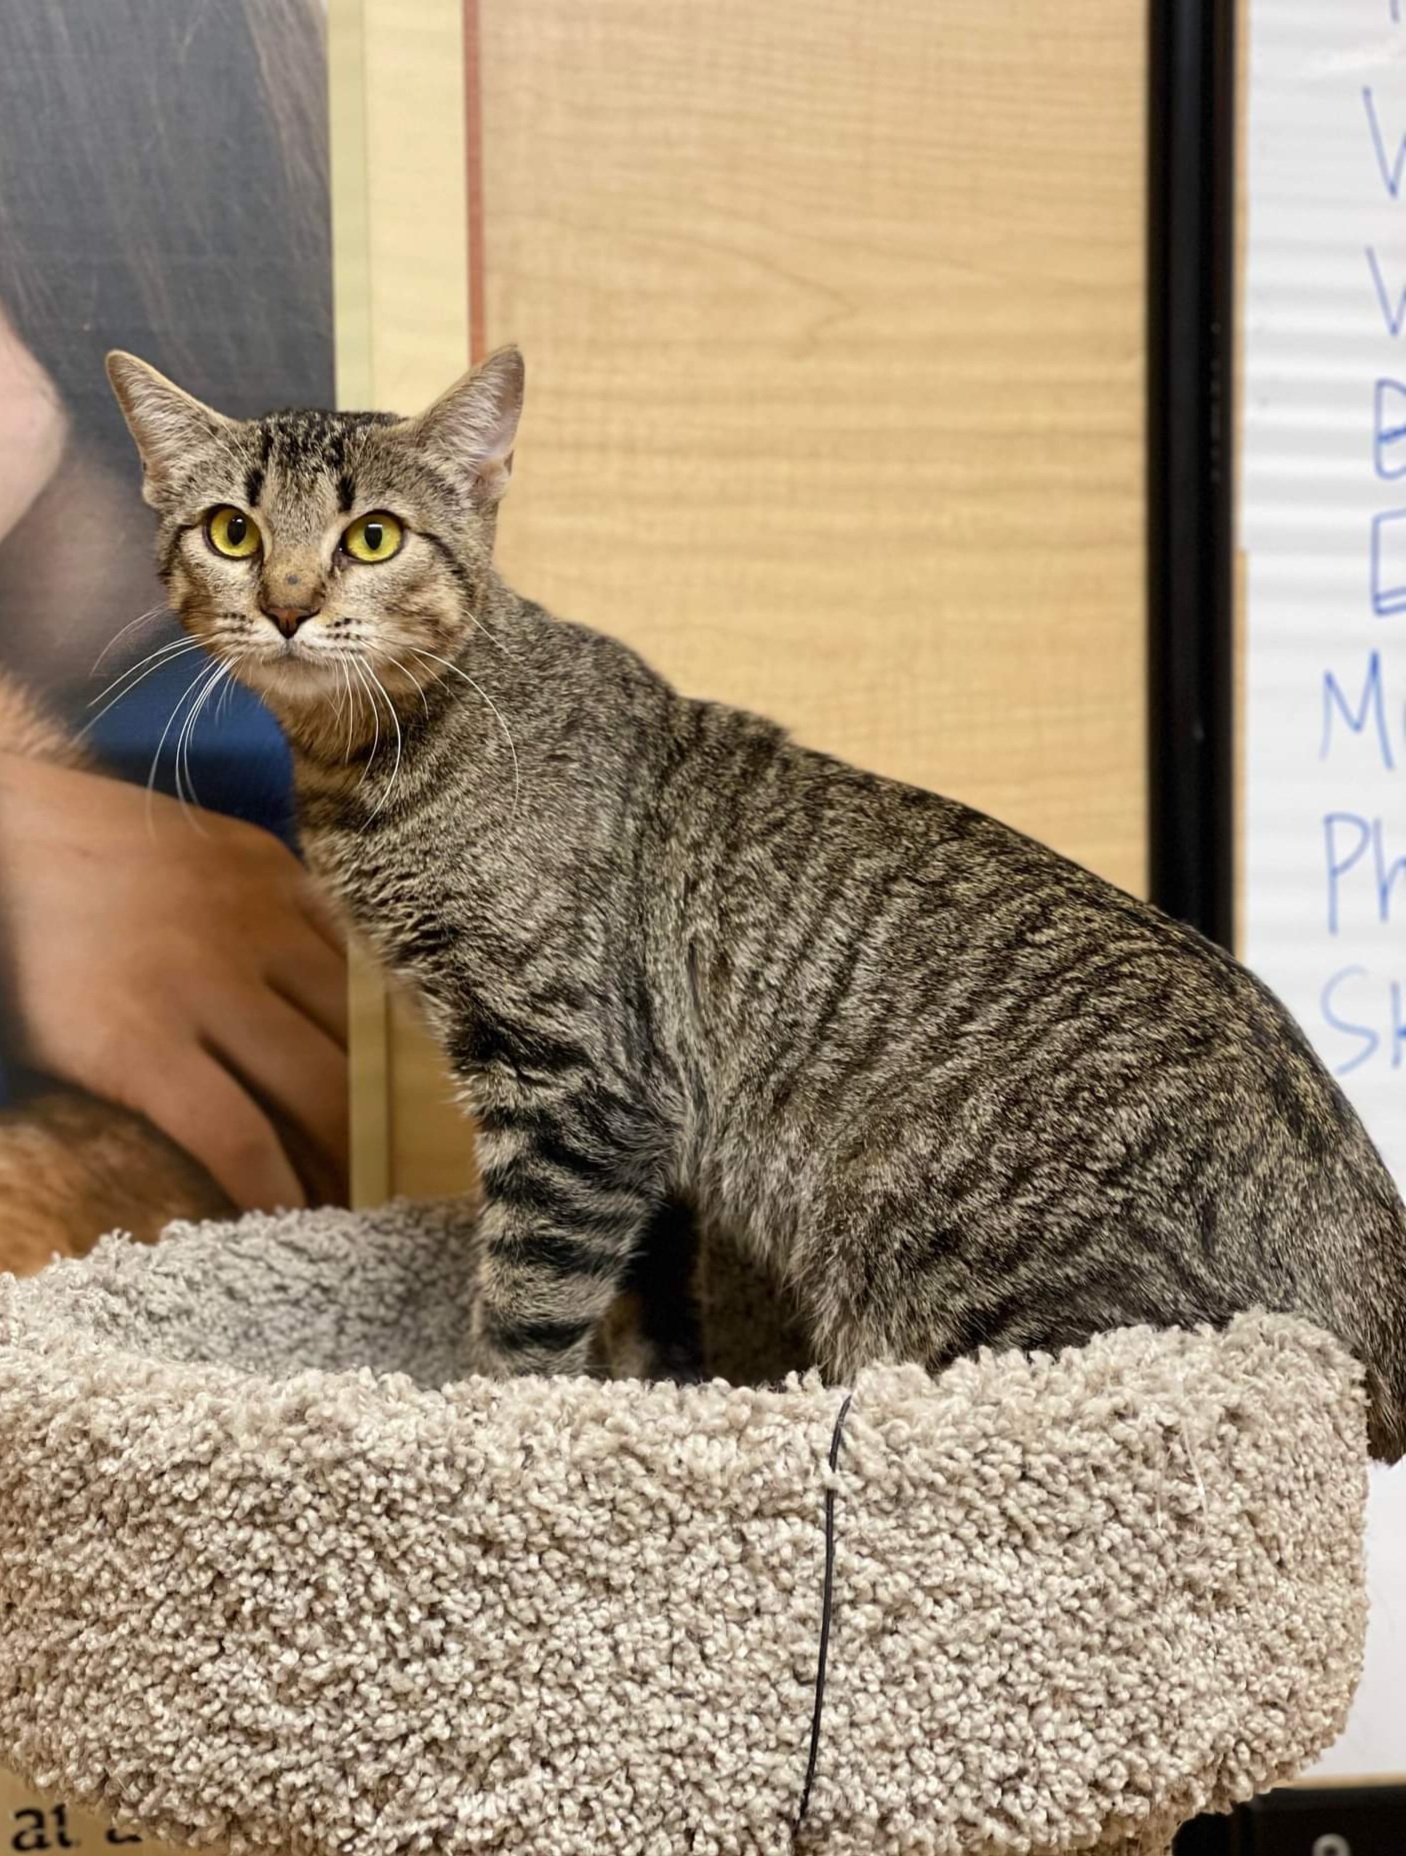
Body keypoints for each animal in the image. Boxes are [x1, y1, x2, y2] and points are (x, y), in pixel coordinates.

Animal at [104, 345, 1406, 1447]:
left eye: (372, 537)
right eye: (231, 530)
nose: (284, 602)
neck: (377, 763)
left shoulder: (573, 1089)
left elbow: (526, 1300)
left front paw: (494, 1422)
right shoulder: (646, 1130)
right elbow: (644, 1296)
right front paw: (653, 1391)